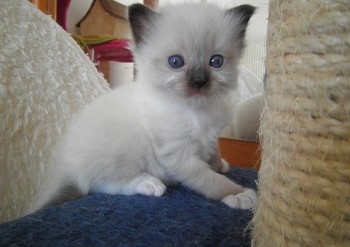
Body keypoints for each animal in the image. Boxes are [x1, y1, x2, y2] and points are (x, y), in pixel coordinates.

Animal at [34, 1, 256, 211]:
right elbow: (211, 180)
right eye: (175, 62)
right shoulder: (179, 156)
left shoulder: (210, 138)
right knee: (102, 185)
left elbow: (213, 153)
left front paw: (219, 165)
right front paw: (238, 194)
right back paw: (148, 183)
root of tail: (67, 165)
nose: (199, 82)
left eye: (216, 62)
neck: (196, 110)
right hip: (127, 142)